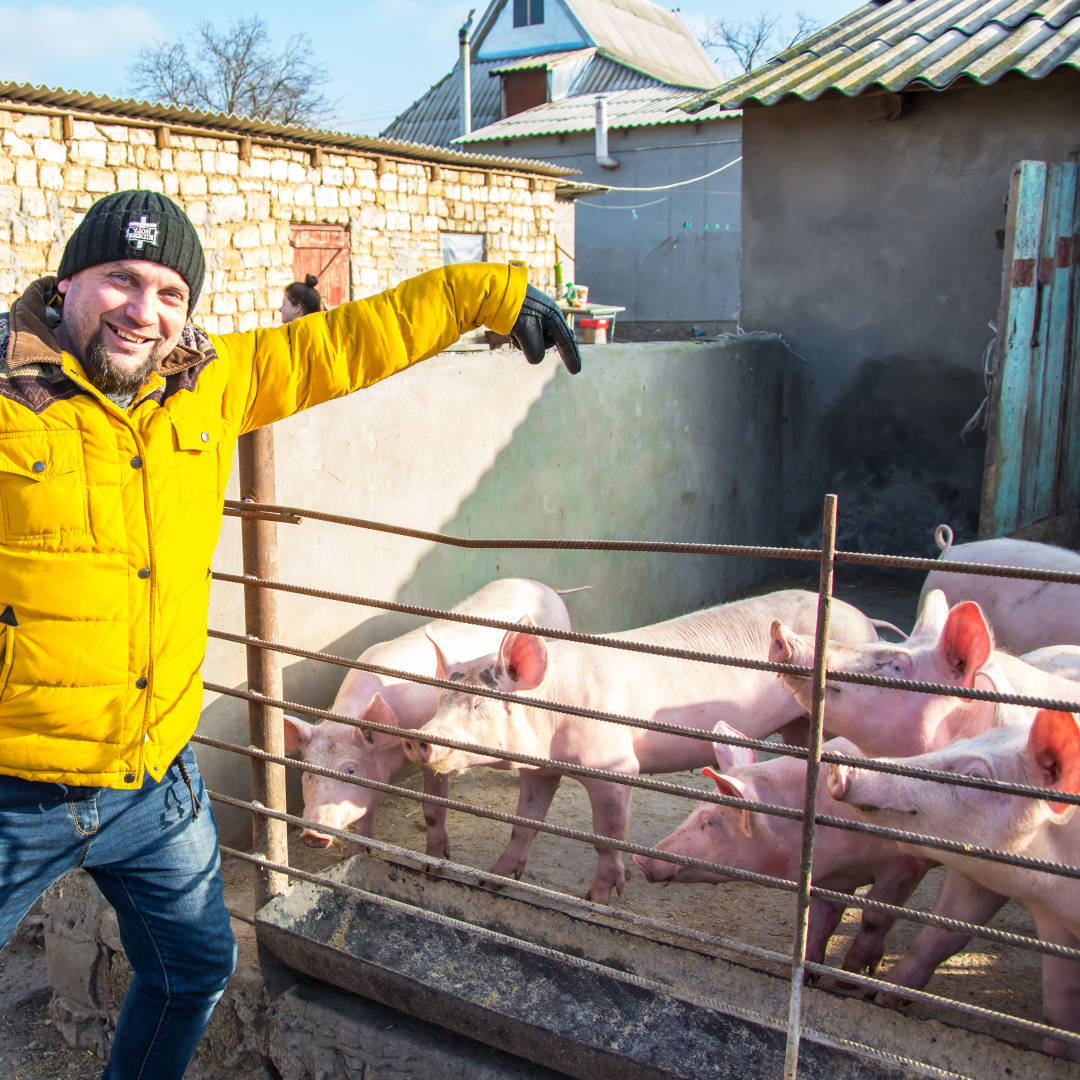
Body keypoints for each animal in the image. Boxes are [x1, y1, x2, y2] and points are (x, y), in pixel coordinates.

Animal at [285, 578, 574, 855]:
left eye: (350, 770)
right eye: (307, 773)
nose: (311, 835)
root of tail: (547, 588)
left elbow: (432, 807)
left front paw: (436, 860)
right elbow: (366, 811)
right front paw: (353, 854)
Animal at [401, 591, 881, 902]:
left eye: (479, 704)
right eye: (442, 699)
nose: (417, 738)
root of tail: (865, 619)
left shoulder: (616, 766)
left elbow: (607, 836)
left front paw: (597, 899)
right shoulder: (542, 768)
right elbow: (525, 824)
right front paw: (492, 880)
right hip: (798, 722)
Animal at [630, 725, 928, 980]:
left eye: (710, 822)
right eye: (695, 808)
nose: (640, 858)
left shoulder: (907, 864)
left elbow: (875, 918)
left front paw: (850, 978)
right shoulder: (834, 875)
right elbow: (821, 920)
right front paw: (797, 976)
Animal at [829, 712, 1080, 1058]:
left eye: (975, 776)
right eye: (956, 743)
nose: (839, 765)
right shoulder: (1045, 914)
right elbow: (1058, 1005)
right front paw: (877, 998)